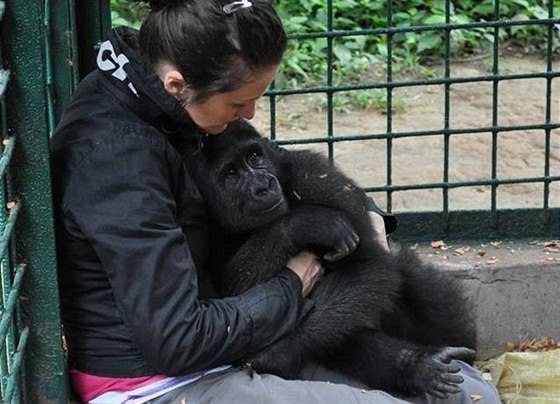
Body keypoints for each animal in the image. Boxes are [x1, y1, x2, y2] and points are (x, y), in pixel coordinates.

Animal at [180, 120, 476, 398]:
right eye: (231, 173)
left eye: (254, 157)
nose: (263, 185)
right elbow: (235, 300)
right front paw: (305, 224)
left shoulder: (313, 174)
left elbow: (366, 265)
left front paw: (279, 353)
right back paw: (416, 367)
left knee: (404, 273)